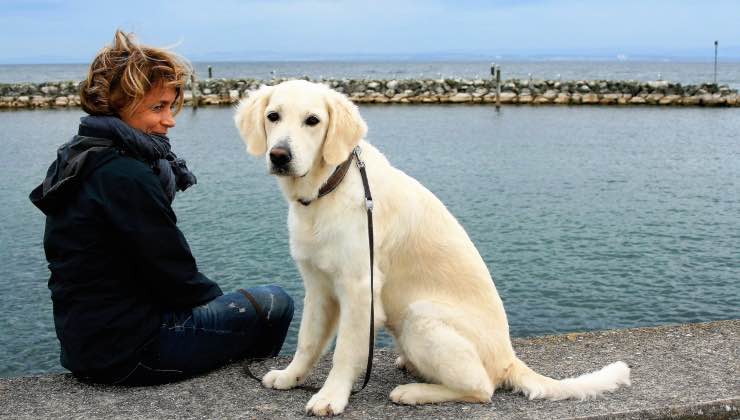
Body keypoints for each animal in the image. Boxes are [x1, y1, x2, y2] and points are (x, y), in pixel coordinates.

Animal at [234, 80, 628, 416]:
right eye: (273, 116)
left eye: (313, 121)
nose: (279, 155)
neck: (327, 188)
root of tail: (508, 358)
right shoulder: (318, 285)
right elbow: (307, 340)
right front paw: (290, 376)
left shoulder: (360, 287)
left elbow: (344, 351)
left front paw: (331, 397)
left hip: (420, 314)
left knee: (481, 388)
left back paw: (413, 392)